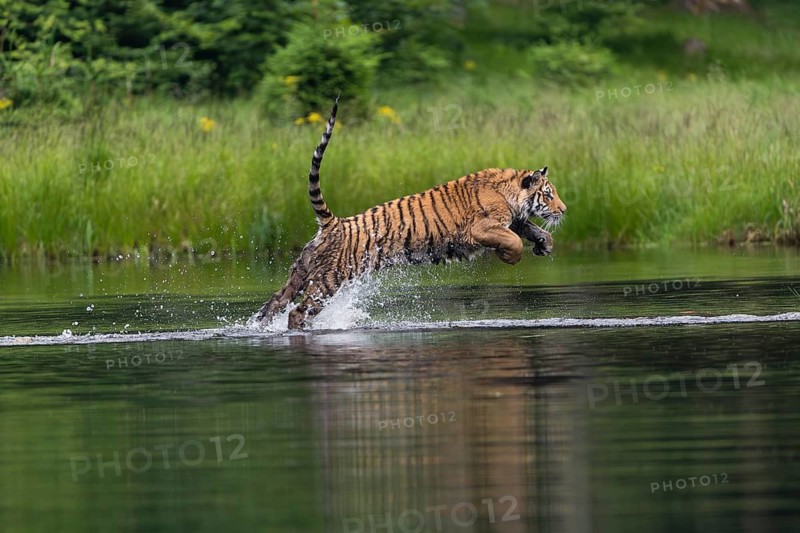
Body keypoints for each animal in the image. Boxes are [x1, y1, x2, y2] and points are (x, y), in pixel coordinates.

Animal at [253, 98, 567, 330]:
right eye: (549, 194)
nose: (563, 210)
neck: (510, 191)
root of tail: (334, 223)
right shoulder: (481, 228)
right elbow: (512, 239)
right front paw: (510, 257)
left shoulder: (515, 220)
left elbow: (532, 229)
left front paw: (544, 245)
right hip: (328, 281)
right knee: (297, 311)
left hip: (301, 273)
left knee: (275, 301)